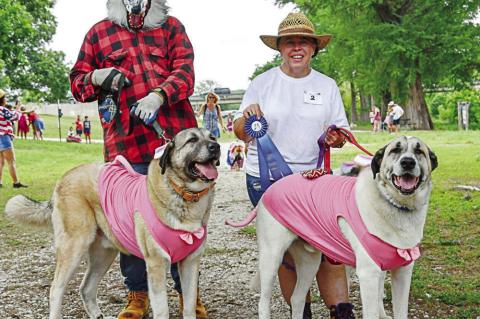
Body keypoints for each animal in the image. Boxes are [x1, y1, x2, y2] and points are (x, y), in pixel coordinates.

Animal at [5, 127, 221, 319]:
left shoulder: (190, 263)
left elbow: (189, 306)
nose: (216, 146)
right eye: (192, 140)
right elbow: (162, 310)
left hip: (104, 254)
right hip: (74, 247)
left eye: (212, 137)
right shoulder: (156, 265)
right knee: (56, 288)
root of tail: (64, 177)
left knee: (86, 287)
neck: (184, 195)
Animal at [227, 136, 436, 318]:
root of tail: (269, 190)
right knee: (264, 302)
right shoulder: (369, 274)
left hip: (309, 263)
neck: (395, 205)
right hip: (271, 259)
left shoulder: (402, 273)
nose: (408, 162)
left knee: (297, 299)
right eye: (395, 150)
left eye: (419, 151)